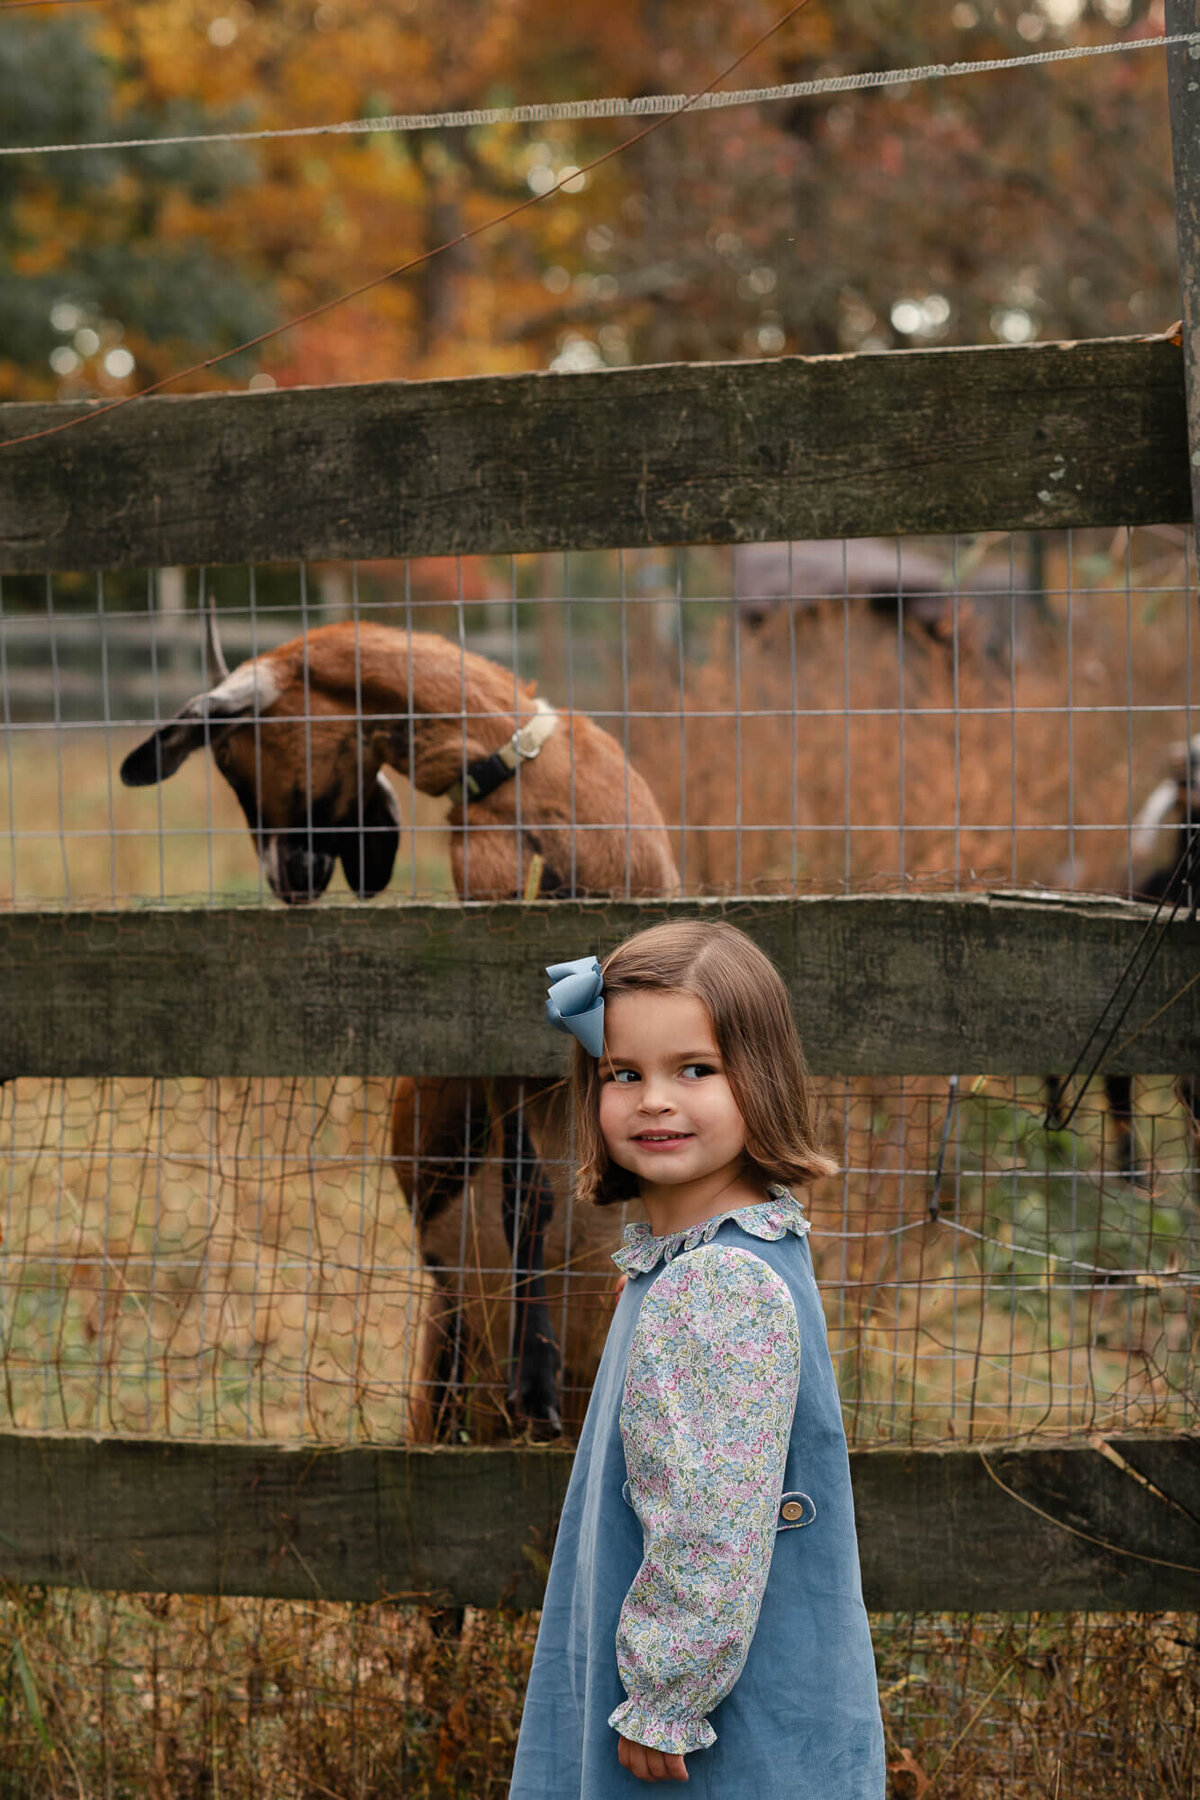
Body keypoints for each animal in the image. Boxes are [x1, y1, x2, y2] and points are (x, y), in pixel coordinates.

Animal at [125, 626, 680, 1440]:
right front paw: (535, 1378)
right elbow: (527, 1193)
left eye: (231, 754)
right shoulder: (493, 1030)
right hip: (442, 1356)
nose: (286, 882)